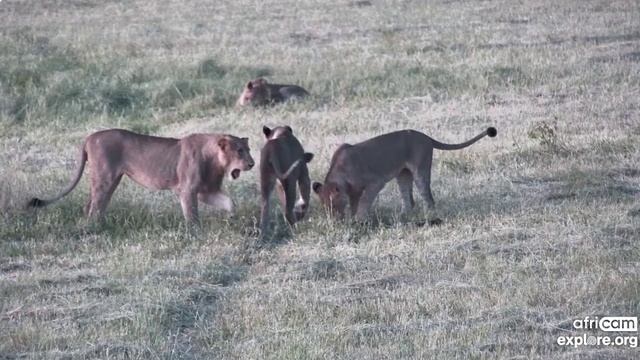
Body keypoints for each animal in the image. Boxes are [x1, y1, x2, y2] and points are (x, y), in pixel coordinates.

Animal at [28, 128, 255, 224]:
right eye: (239, 151)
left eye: (248, 149)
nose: (252, 164)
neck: (216, 160)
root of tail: (89, 137)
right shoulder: (188, 190)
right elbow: (192, 214)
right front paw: (194, 233)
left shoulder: (206, 191)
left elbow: (229, 202)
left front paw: (232, 219)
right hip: (105, 177)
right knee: (94, 206)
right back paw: (94, 228)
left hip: (112, 180)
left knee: (92, 204)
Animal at [312, 126, 498, 222]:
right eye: (324, 206)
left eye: (333, 205)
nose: (333, 221)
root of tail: (426, 136)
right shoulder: (354, 191)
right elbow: (355, 203)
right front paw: (353, 219)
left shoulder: (375, 182)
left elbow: (364, 202)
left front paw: (359, 220)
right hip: (402, 175)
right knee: (409, 199)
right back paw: (402, 216)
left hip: (420, 169)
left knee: (428, 197)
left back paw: (428, 215)